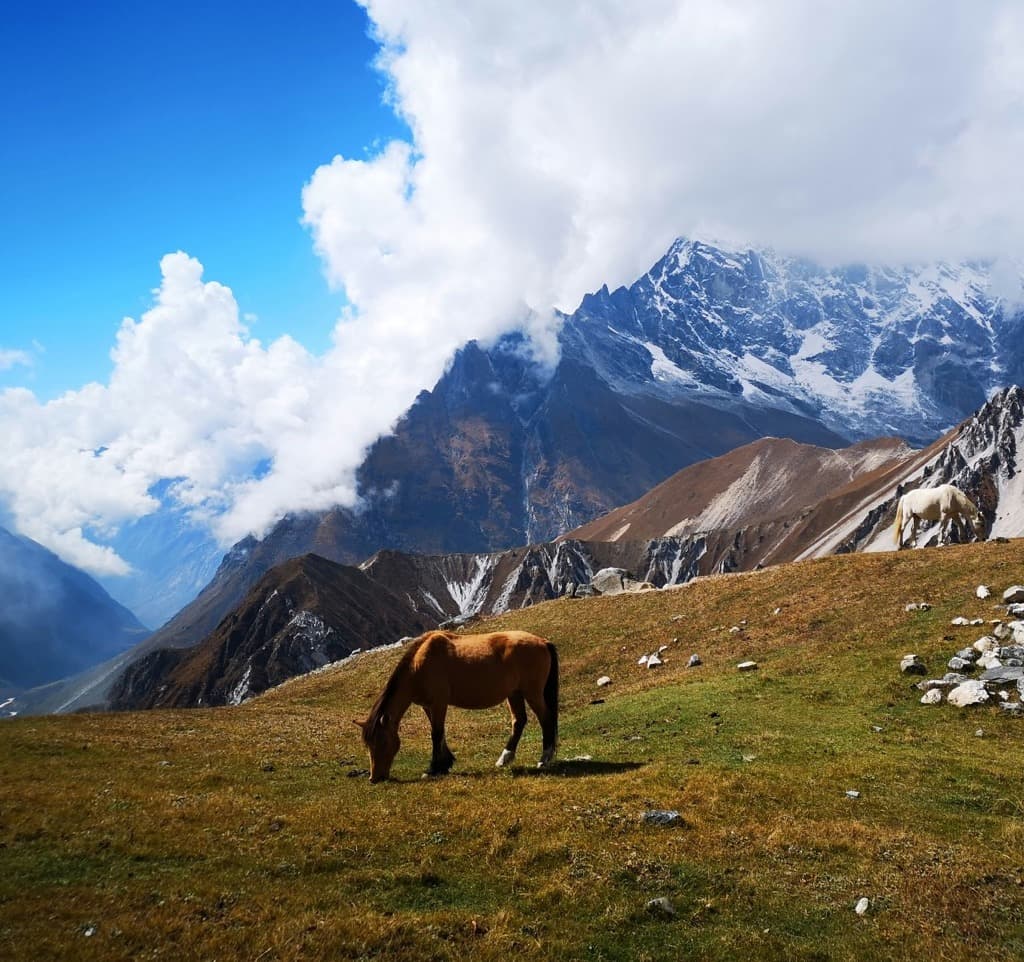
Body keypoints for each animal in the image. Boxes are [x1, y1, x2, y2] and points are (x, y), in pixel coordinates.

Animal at [352, 631, 561, 782]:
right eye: (368, 744)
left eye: (383, 742)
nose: (375, 778)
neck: (419, 665)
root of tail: (543, 642)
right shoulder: (428, 706)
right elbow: (439, 733)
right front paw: (445, 764)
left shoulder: (439, 703)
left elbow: (436, 734)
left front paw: (433, 769)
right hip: (514, 693)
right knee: (519, 721)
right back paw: (505, 758)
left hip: (532, 693)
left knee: (546, 719)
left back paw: (544, 759)